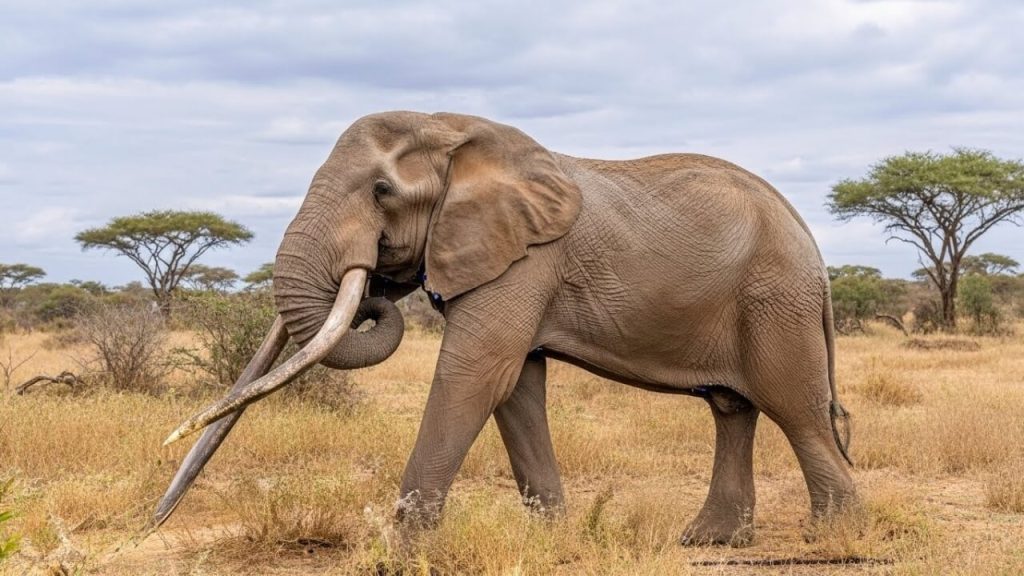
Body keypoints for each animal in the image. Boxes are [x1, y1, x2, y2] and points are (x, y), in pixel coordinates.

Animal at [155, 111, 857, 546]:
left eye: (382, 191)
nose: (148, 522)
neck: (454, 130)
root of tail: (811, 240)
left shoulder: (525, 259)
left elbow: (475, 375)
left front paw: (400, 549)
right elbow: (517, 385)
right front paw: (553, 536)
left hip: (777, 299)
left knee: (795, 409)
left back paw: (833, 535)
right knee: (732, 409)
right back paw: (708, 539)